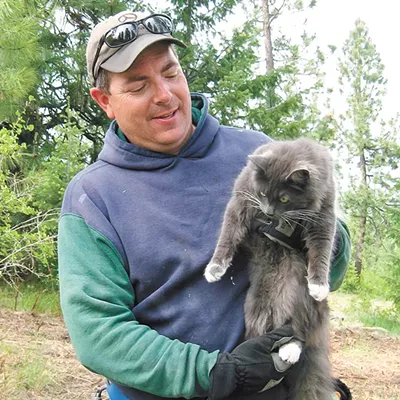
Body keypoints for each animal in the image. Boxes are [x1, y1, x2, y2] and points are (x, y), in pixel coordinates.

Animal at [205, 138, 336, 400]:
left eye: (284, 199)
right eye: (263, 193)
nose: (268, 212)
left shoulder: (324, 214)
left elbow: (322, 249)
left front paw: (318, 284)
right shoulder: (241, 200)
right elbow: (227, 234)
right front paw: (215, 268)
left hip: (303, 303)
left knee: (300, 332)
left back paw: (289, 351)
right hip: (256, 306)